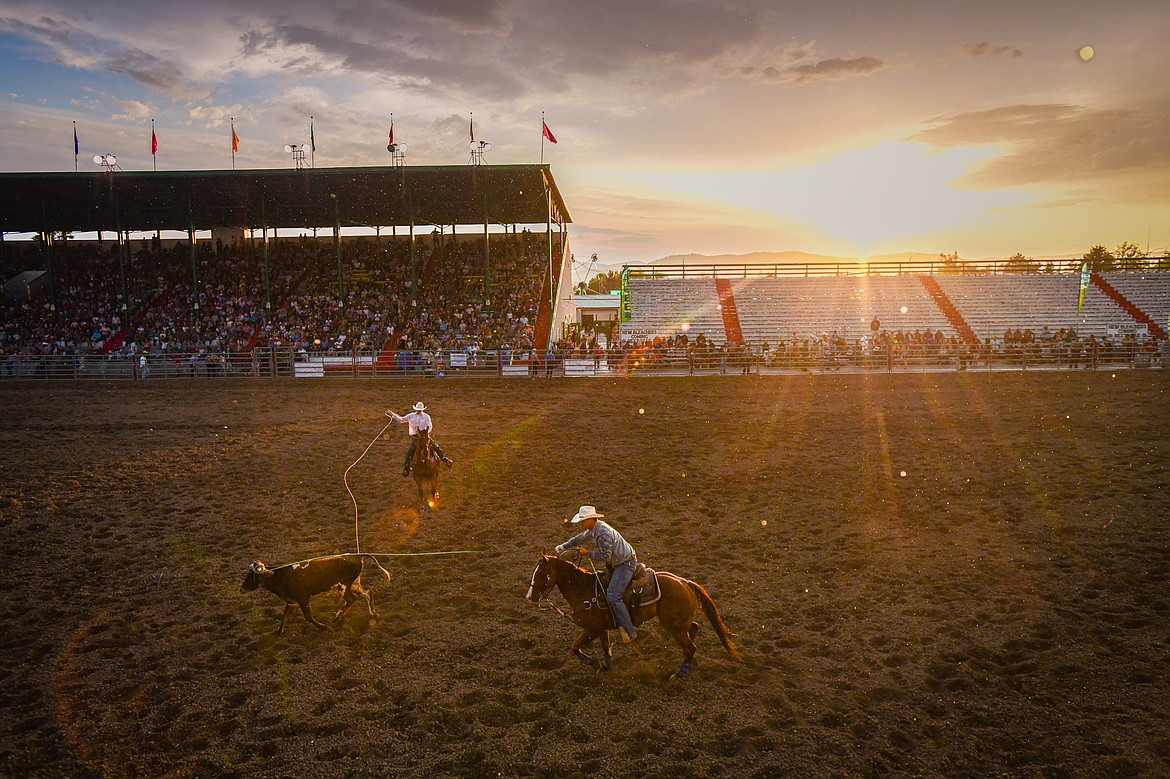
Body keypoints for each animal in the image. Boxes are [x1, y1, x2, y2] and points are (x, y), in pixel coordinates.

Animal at [528, 549, 739, 678]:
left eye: (541, 574)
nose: (530, 597)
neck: (585, 589)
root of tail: (684, 582)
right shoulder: (600, 628)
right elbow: (604, 647)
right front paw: (604, 666)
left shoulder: (592, 628)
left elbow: (574, 646)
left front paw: (592, 662)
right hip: (679, 622)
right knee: (694, 629)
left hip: (674, 626)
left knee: (690, 647)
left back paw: (679, 674)